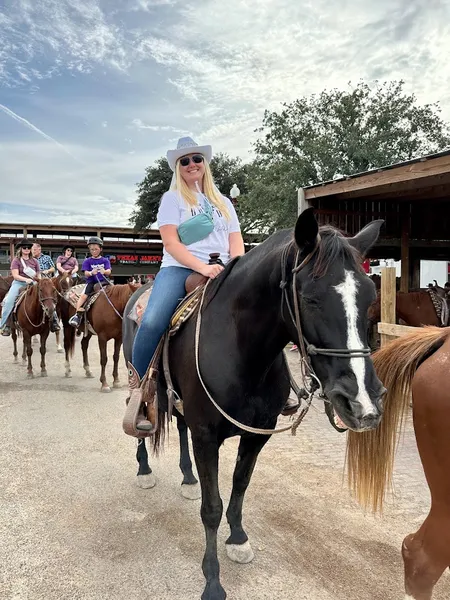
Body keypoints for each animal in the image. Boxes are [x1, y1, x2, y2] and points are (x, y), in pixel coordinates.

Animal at [124, 209, 386, 596]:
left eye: (370, 296)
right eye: (310, 298)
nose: (362, 401)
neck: (240, 350)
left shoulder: (256, 434)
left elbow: (240, 486)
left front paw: (238, 538)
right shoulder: (207, 436)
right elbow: (212, 507)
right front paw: (213, 581)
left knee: (181, 428)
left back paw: (187, 477)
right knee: (140, 421)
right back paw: (144, 469)